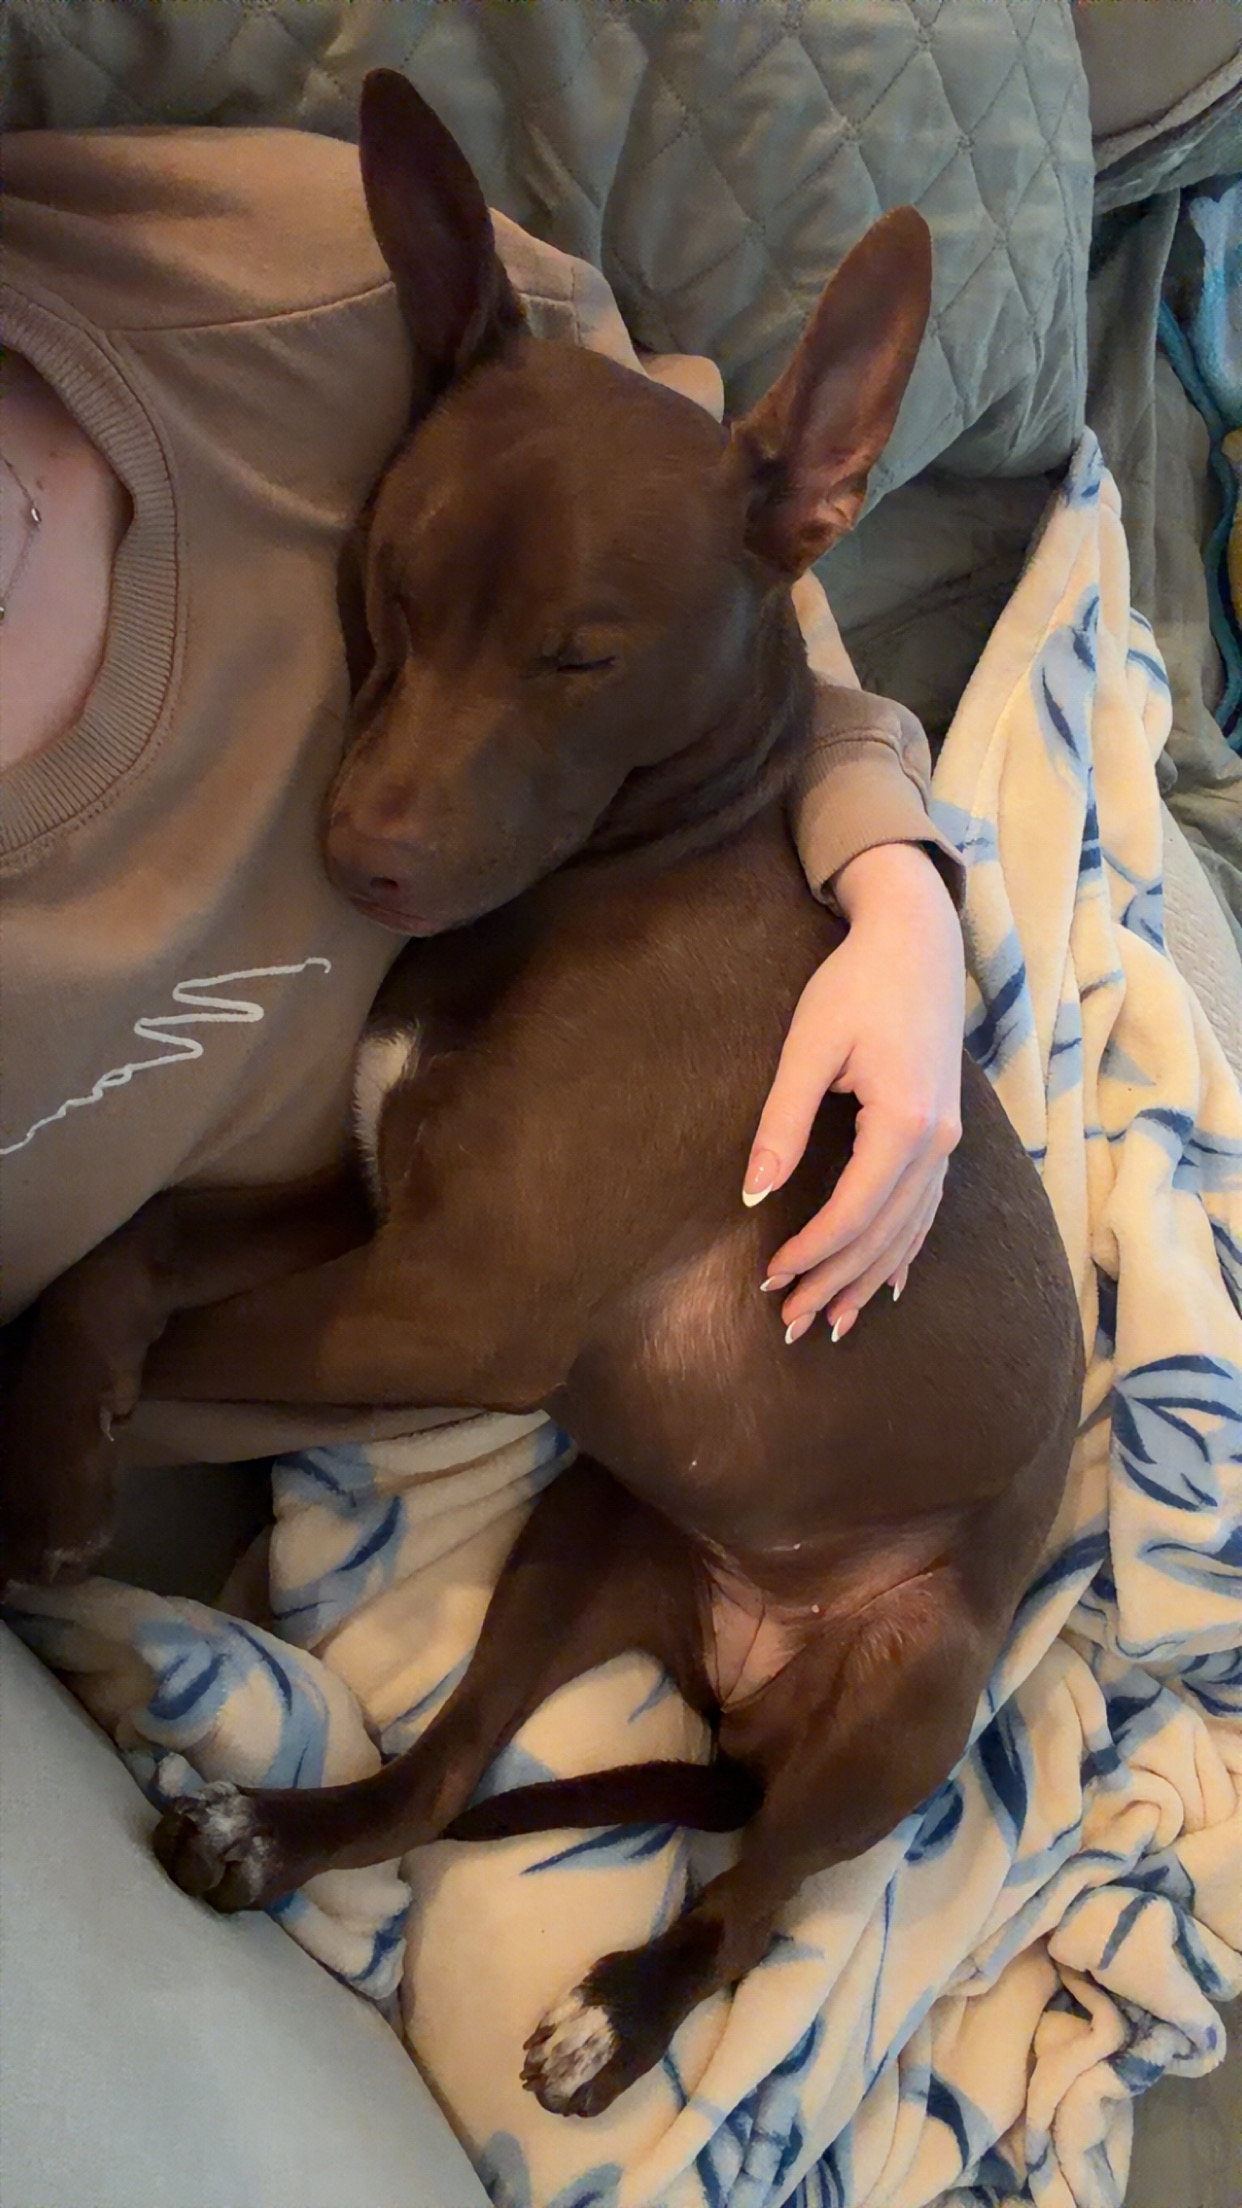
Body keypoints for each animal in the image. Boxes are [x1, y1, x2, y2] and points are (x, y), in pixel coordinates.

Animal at [0, 73, 1083, 2118]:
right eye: (388, 592)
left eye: (582, 655)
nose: (360, 862)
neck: (620, 877)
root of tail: (745, 1668)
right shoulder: (374, 1210)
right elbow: (131, 1246)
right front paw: (67, 1425)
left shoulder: (448, 1296)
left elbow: (152, 1292)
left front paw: (36, 1448)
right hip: (585, 1539)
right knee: (438, 1778)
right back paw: (268, 1836)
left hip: (895, 1703)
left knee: (745, 1904)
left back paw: (619, 2013)